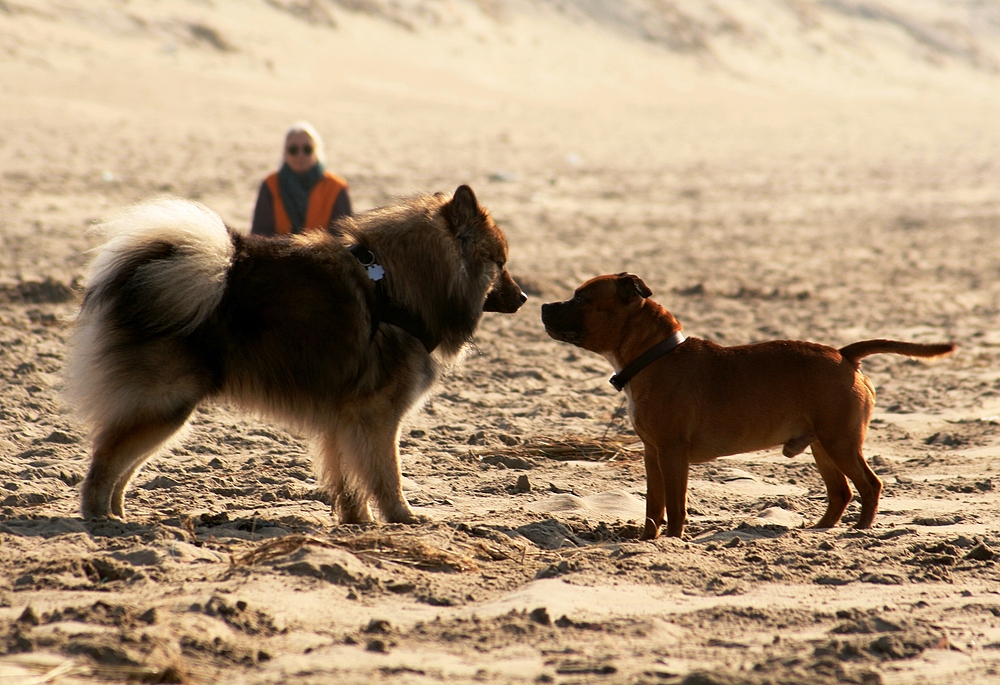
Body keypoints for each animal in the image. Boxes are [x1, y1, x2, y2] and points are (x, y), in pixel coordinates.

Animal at [66, 184, 528, 520]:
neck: (398, 289)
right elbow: (387, 474)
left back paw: (119, 514)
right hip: (167, 404)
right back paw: (100, 516)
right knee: (106, 460)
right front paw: (402, 517)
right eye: (499, 263)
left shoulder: (343, 418)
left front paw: (358, 521)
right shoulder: (376, 416)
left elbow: (349, 480)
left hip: (167, 412)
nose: (524, 297)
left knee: (124, 463)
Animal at [544, 272, 956, 540]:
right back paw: (821, 529)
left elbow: (674, 506)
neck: (653, 355)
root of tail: (844, 354)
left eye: (581, 298)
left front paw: (674, 539)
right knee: (841, 491)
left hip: (840, 442)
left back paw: (860, 530)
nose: (545, 304)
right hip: (823, 446)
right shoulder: (652, 453)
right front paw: (648, 541)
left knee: (870, 484)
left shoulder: (672, 453)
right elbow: (653, 506)